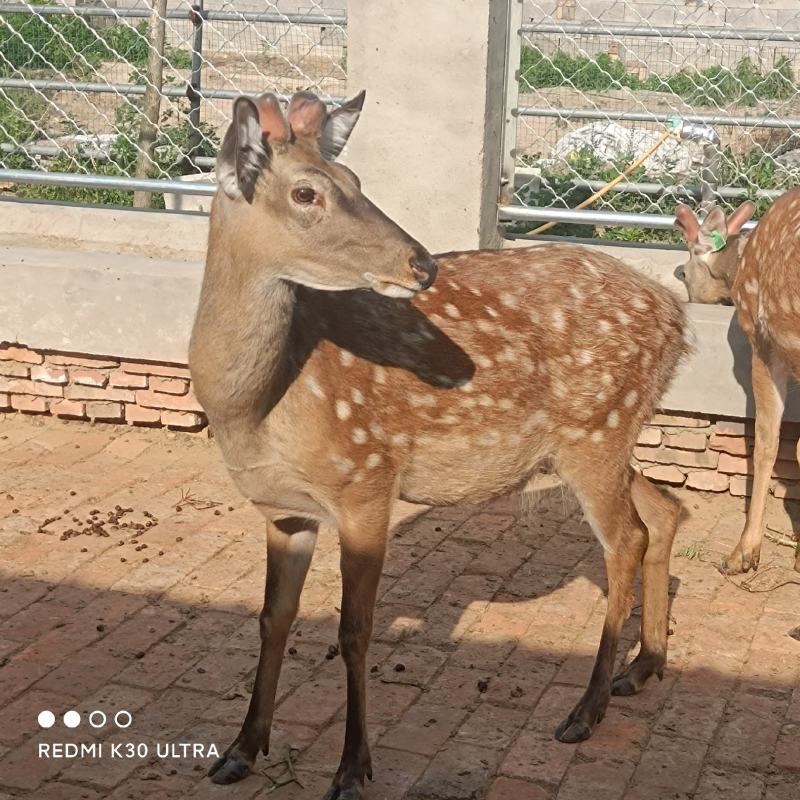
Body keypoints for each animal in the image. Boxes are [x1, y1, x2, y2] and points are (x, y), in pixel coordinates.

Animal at [188, 89, 688, 797]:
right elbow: (271, 618)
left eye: (357, 178)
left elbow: (355, 629)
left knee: (628, 539)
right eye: (308, 191)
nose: (420, 262)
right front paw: (240, 749)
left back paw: (585, 709)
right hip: (600, 440)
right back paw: (644, 666)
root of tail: (678, 317)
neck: (258, 406)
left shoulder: (367, 478)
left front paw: (352, 769)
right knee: (667, 509)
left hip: (597, 430)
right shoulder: (281, 509)